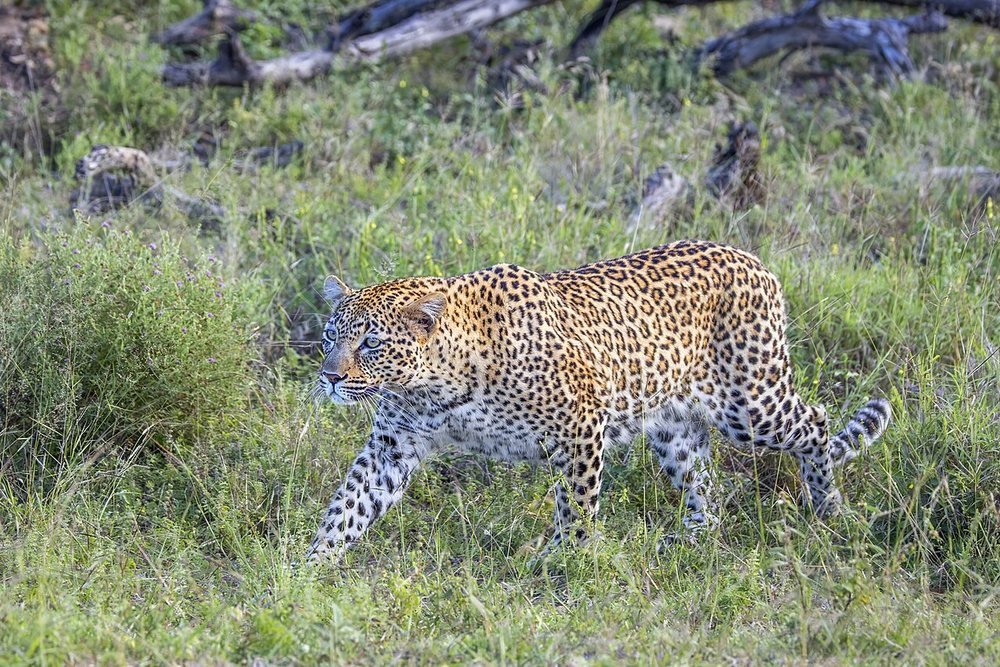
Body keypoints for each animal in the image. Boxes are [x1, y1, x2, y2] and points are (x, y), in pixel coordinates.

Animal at [307, 240, 891, 562]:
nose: (330, 378)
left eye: (371, 343)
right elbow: (349, 505)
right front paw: (309, 568)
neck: (435, 386)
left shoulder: (580, 425)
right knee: (705, 483)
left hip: (751, 403)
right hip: (674, 427)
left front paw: (563, 564)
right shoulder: (393, 445)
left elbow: (576, 505)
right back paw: (691, 539)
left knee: (815, 424)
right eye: (331, 336)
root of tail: (756, 261)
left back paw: (829, 508)